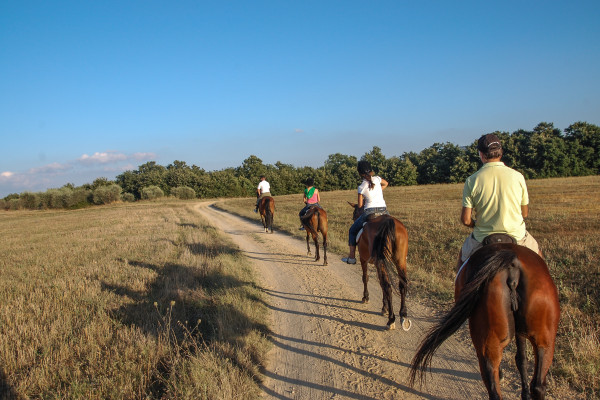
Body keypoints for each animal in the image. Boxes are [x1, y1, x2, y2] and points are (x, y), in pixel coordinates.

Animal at [346, 203, 412, 332]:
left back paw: (391, 320)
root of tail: (388, 222)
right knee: (402, 285)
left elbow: (366, 278)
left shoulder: (364, 259)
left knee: (387, 286)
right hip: (400, 260)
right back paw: (403, 315)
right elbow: (381, 284)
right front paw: (384, 307)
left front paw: (366, 297)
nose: (353, 219)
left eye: (355, 213)